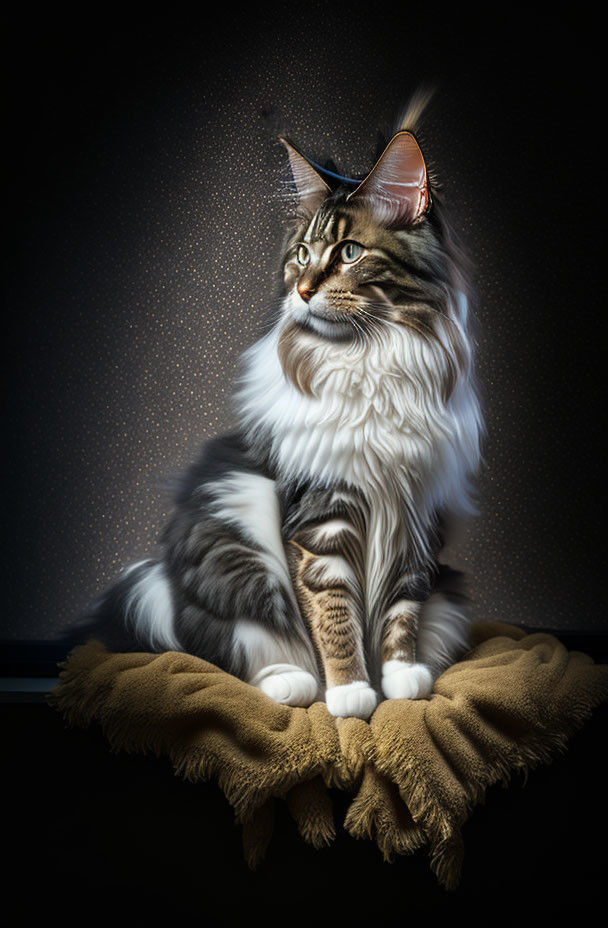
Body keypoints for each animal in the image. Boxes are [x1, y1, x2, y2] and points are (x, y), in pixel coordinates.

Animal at [66, 98, 482, 720]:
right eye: (302, 254)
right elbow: (333, 612)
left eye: (349, 253)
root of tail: (164, 583)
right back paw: (295, 683)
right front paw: (350, 693)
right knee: (234, 650)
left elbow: (401, 609)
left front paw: (401, 678)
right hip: (235, 534)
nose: (303, 291)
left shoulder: (416, 512)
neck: (370, 354)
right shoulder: (319, 512)